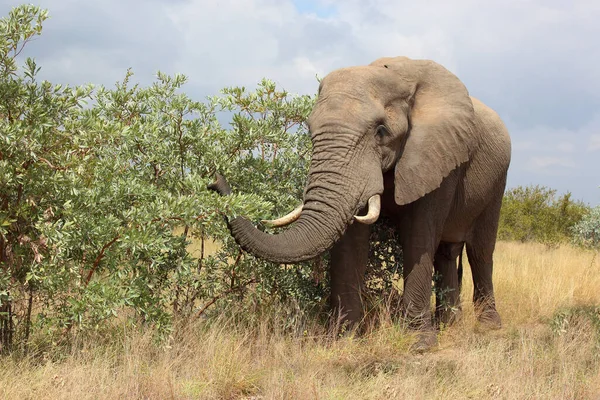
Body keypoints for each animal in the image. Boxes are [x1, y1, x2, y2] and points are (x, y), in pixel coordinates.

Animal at [206, 56, 510, 350]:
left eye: (381, 131)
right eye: (309, 129)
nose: (214, 179)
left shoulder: (436, 155)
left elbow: (418, 236)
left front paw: (419, 345)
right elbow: (351, 240)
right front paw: (343, 340)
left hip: (499, 178)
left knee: (480, 250)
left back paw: (488, 326)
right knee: (447, 253)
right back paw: (450, 325)